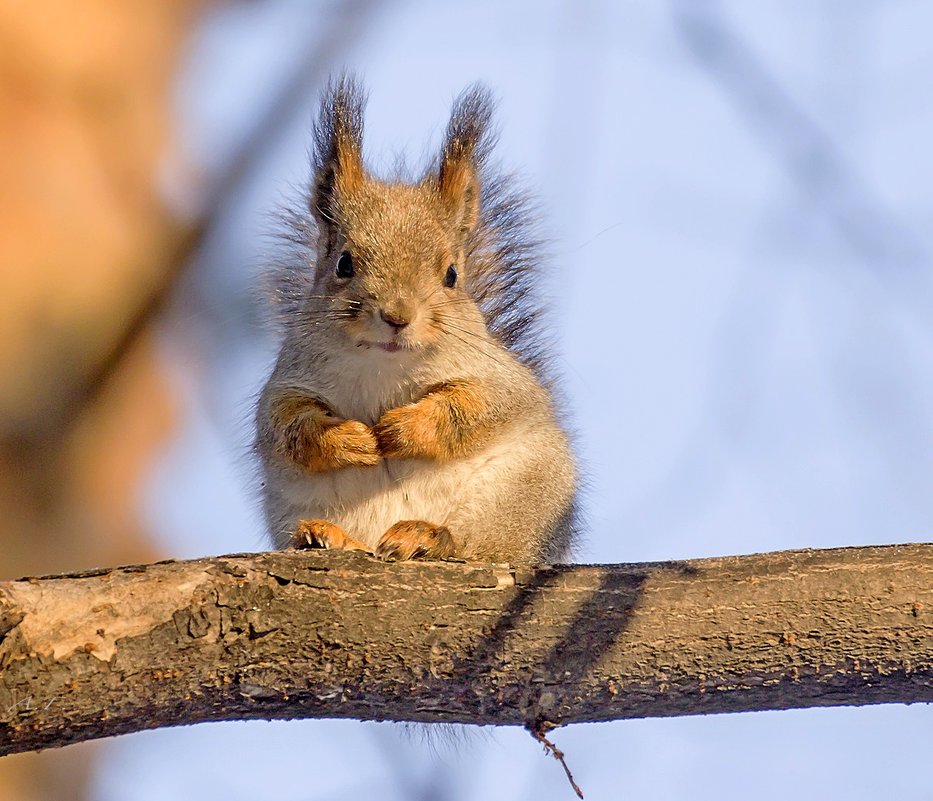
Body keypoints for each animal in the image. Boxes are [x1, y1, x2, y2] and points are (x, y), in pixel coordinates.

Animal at [253, 76, 576, 564]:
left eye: (452, 275)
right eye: (344, 264)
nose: (397, 316)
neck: (385, 367)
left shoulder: (499, 380)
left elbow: (476, 408)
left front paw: (402, 428)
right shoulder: (288, 382)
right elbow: (288, 427)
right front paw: (349, 439)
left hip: (522, 499)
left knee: (478, 543)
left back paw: (428, 536)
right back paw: (328, 535)